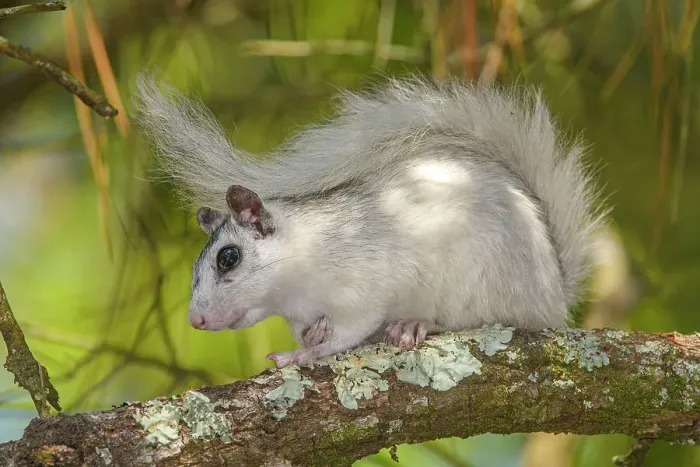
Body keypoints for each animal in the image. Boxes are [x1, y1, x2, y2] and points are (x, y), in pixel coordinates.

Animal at [135, 75, 606, 368]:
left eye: (228, 258)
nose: (196, 321)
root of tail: (553, 298)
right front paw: (311, 339)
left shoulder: (364, 286)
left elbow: (349, 333)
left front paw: (306, 354)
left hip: (480, 284)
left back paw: (417, 324)